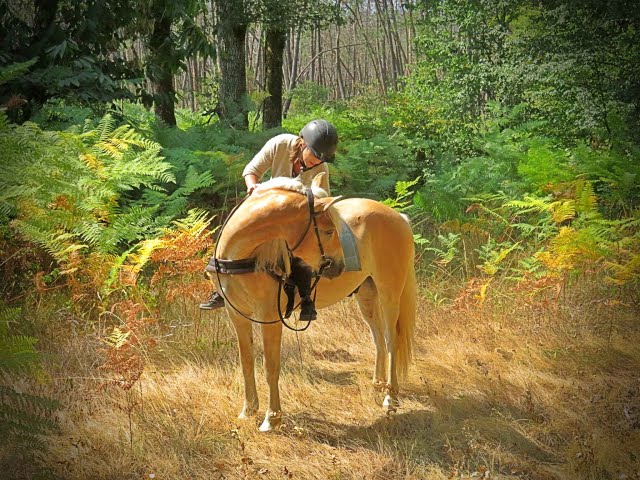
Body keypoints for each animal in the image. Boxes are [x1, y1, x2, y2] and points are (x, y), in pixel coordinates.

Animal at [211, 173, 416, 431]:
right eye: (328, 231)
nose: (338, 266)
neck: (243, 257)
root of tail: (399, 217)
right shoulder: (237, 315)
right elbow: (246, 362)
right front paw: (248, 411)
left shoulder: (270, 318)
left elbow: (270, 366)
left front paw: (272, 418)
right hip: (366, 295)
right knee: (379, 339)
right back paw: (379, 386)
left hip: (390, 294)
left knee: (391, 341)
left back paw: (391, 398)